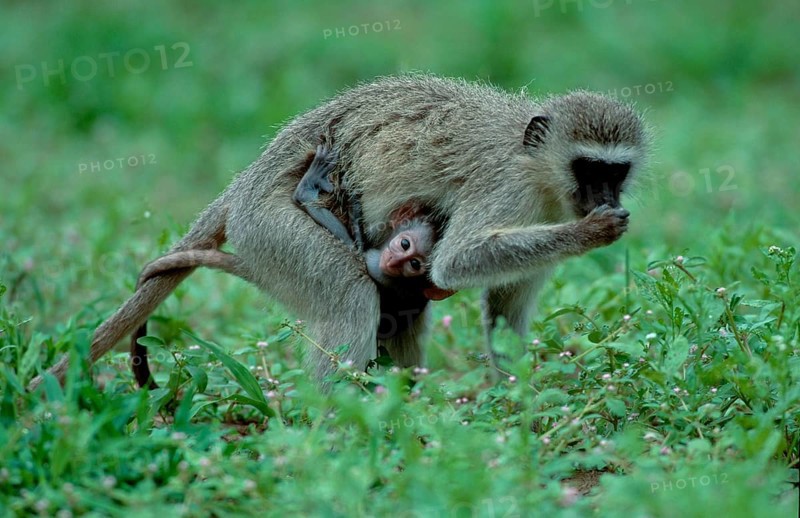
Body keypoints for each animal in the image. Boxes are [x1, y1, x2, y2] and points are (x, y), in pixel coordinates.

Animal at [29, 75, 648, 392]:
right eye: (589, 169)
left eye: (616, 172)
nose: (608, 199)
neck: (537, 169)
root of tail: (247, 180)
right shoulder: (506, 189)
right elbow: (457, 263)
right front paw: (592, 232)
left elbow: (505, 310)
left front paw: (519, 402)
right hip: (269, 229)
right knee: (351, 298)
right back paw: (340, 426)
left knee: (402, 311)